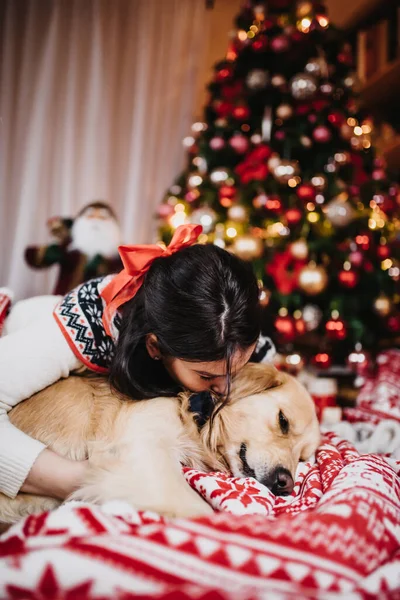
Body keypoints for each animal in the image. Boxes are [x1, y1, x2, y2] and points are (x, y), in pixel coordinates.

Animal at [0, 360, 320, 524]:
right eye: (283, 421)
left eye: (303, 458)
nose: (285, 483)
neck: (195, 416)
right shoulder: (142, 451)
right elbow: (197, 509)